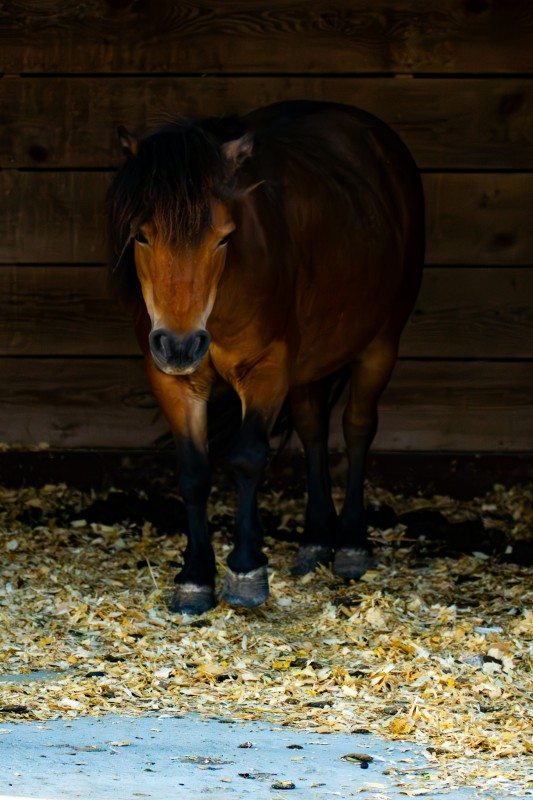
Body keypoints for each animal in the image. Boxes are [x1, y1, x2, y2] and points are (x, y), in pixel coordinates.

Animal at [107, 100, 425, 615]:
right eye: (141, 236)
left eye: (223, 237)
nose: (180, 345)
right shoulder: (174, 381)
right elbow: (194, 472)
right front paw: (195, 578)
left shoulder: (267, 369)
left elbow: (247, 458)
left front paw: (246, 570)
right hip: (309, 363)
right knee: (314, 428)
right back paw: (316, 540)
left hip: (380, 343)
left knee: (357, 427)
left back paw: (352, 545)